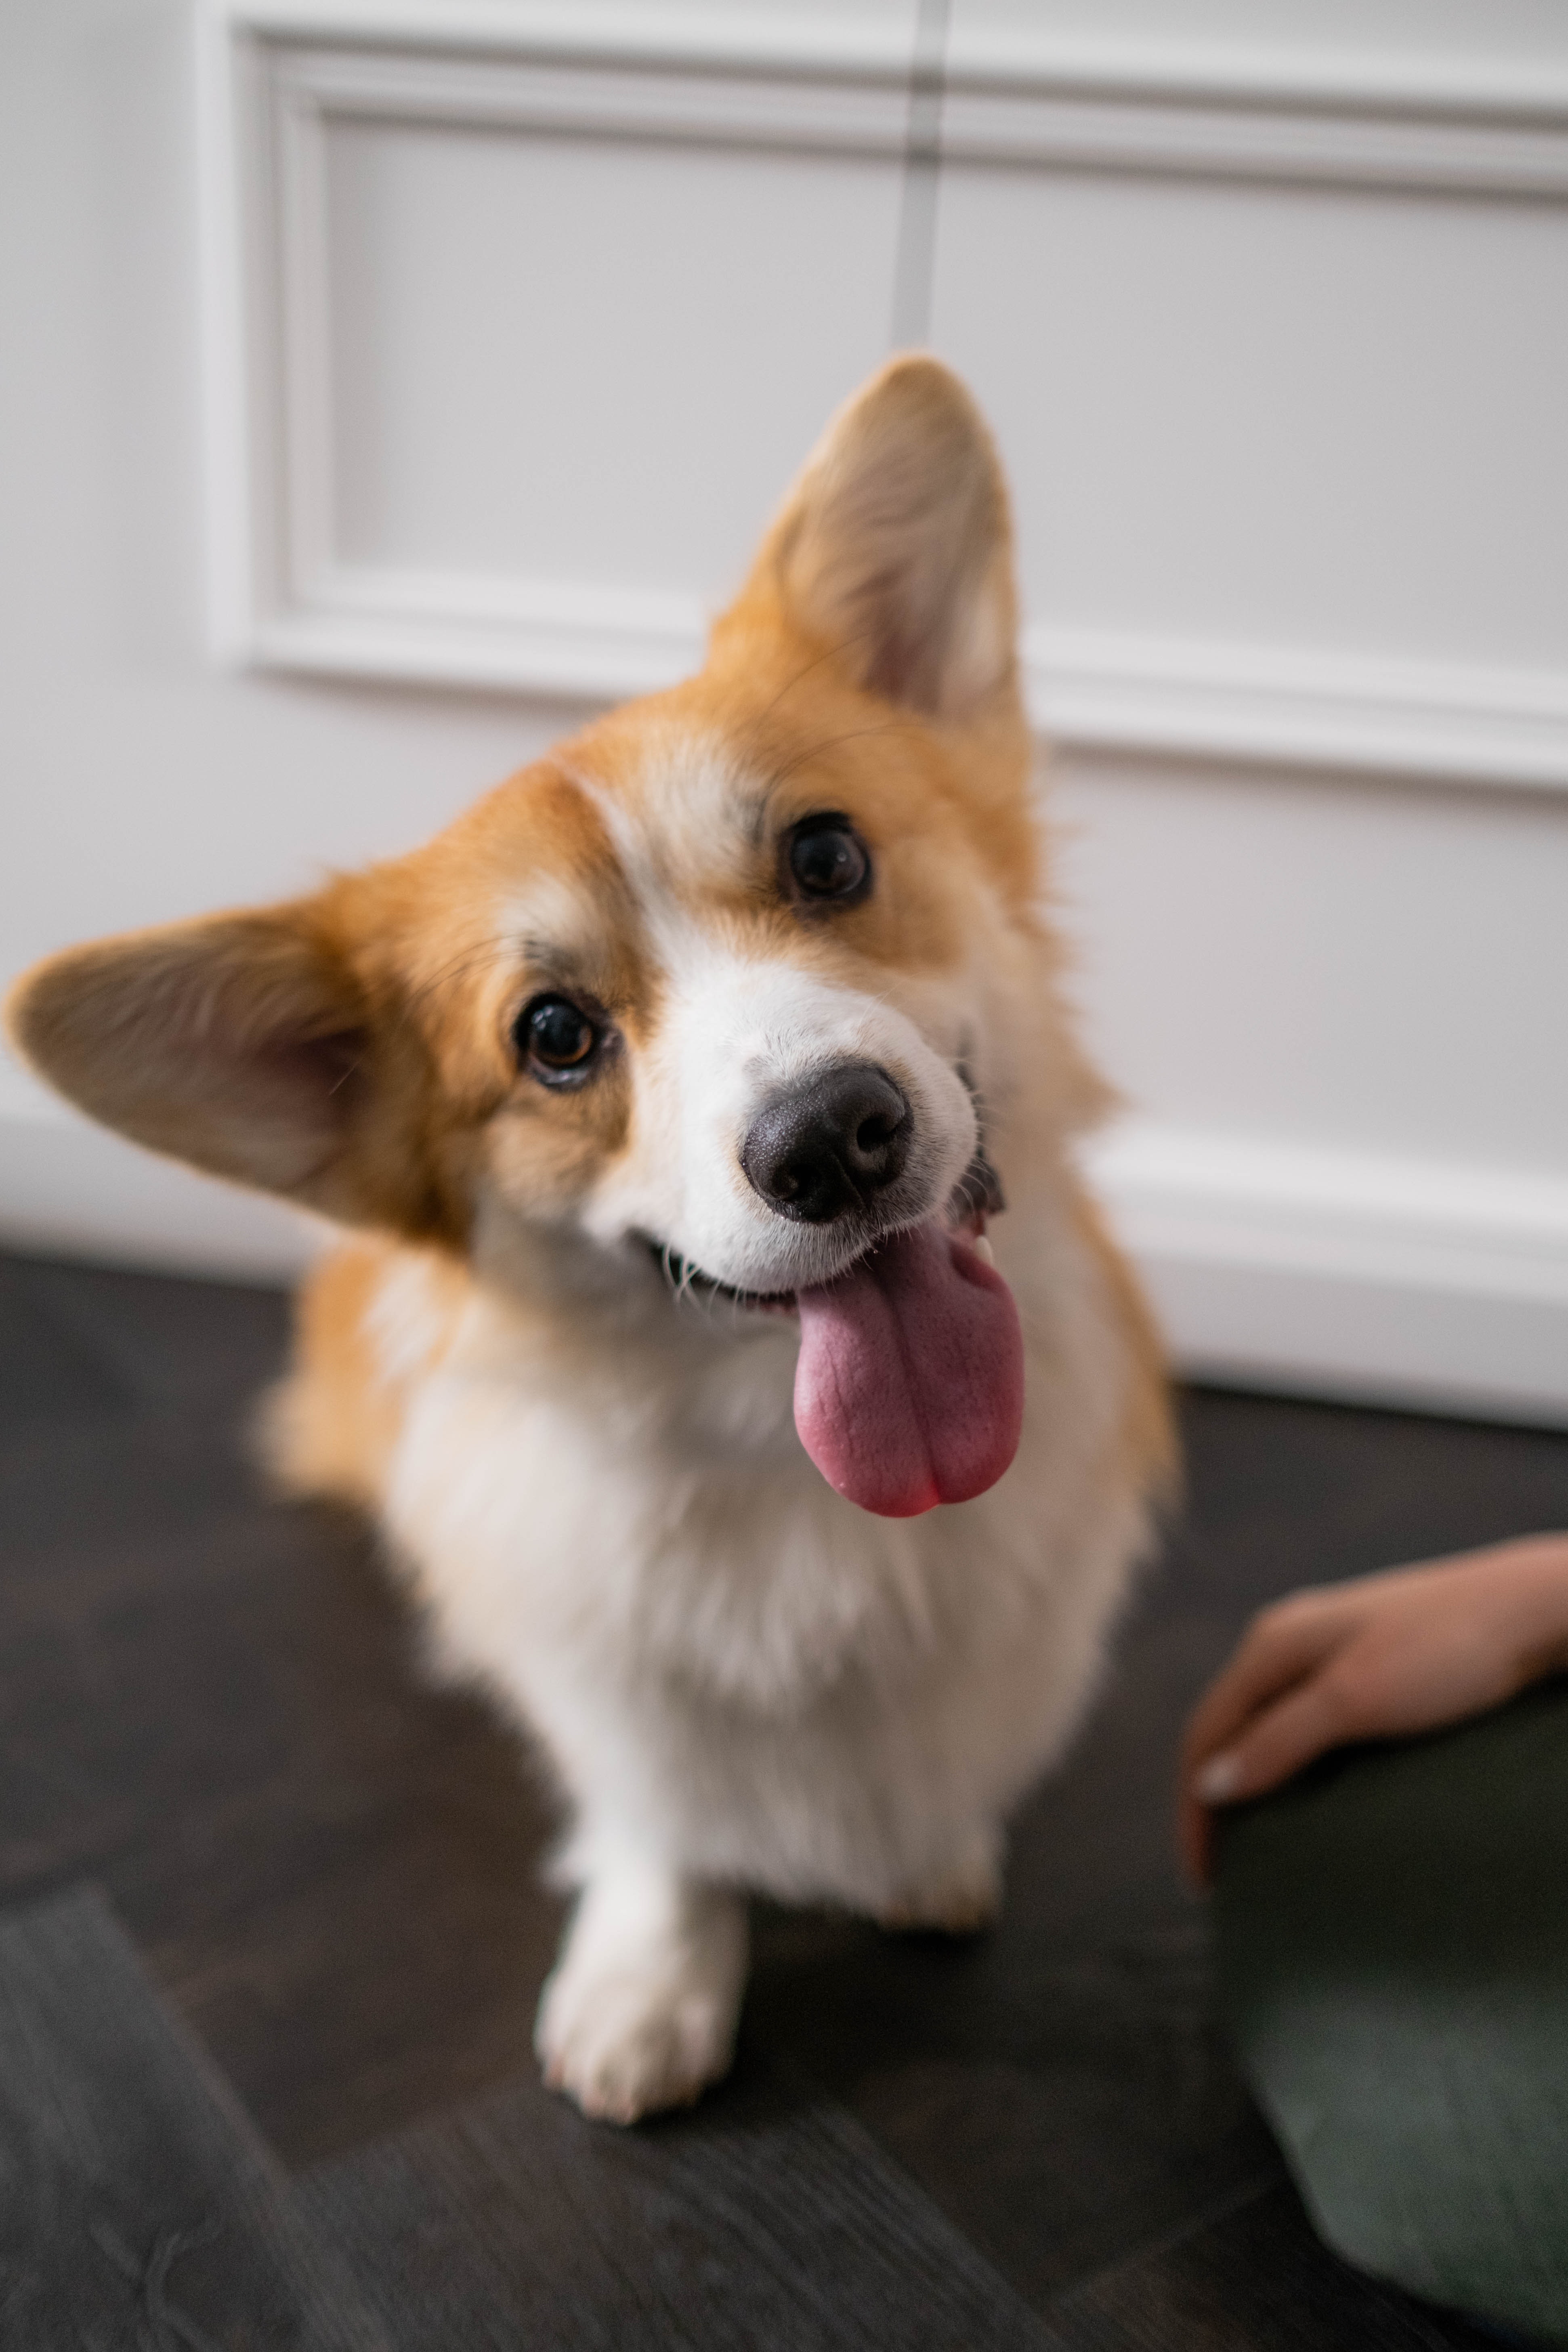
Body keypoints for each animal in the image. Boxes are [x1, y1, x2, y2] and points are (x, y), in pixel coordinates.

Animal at [9, 357, 1166, 2126]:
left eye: (827, 854)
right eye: (553, 1036)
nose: (830, 1136)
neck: (798, 1478)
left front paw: (928, 1854)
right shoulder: (606, 1675)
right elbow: (661, 1820)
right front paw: (651, 1984)